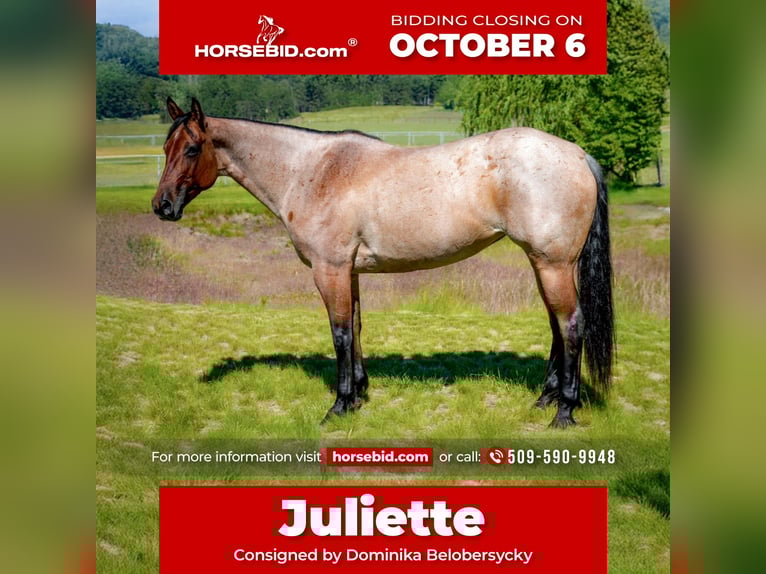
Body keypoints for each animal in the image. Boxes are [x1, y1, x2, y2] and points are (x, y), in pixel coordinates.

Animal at [153, 97, 614, 428]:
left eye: (192, 149)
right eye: (165, 148)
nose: (162, 206)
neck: (313, 171)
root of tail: (578, 155)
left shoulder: (330, 270)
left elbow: (339, 334)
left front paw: (339, 406)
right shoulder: (349, 272)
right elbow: (356, 328)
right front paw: (359, 395)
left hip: (552, 264)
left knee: (572, 325)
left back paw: (564, 412)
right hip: (546, 264)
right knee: (558, 326)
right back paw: (545, 399)